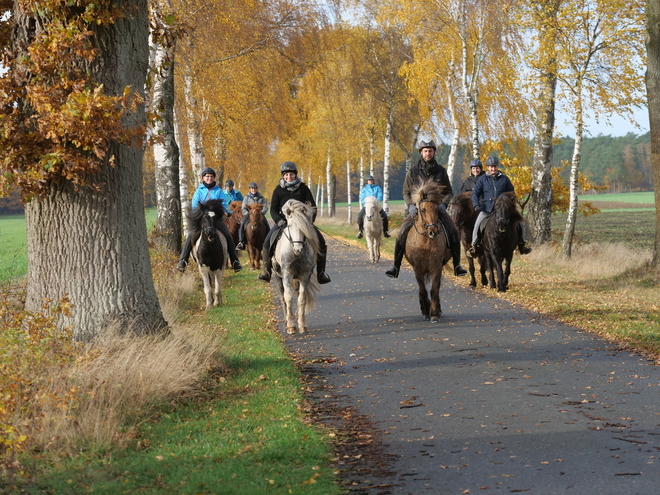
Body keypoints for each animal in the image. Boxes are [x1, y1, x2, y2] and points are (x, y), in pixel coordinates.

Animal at [272, 200, 320, 336]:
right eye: (289, 226)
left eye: (304, 227)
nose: (298, 249)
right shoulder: (287, 274)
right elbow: (288, 297)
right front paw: (291, 327)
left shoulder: (304, 276)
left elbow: (301, 299)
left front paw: (302, 325)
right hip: (277, 276)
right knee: (283, 297)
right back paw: (286, 321)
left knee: (298, 294)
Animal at [404, 180, 452, 324]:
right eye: (422, 210)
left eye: (437, 209)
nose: (433, 232)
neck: (425, 241)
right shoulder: (417, 268)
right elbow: (422, 289)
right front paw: (426, 311)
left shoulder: (436, 266)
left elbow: (434, 289)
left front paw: (434, 314)